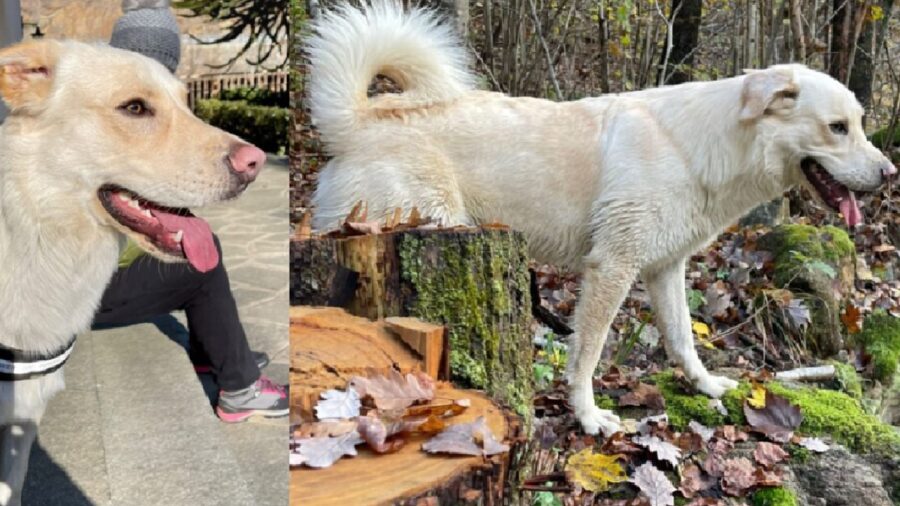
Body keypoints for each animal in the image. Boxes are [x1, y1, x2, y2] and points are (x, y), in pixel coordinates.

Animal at [306, 0, 896, 434]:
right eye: (838, 128)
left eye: (859, 124)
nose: (890, 173)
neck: (702, 145)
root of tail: (358, 121)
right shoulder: (612, 268)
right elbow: (587, 353)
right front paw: (589, 417)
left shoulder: (664, 269)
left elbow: (682, 338)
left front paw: (705, 385)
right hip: (428, 220)